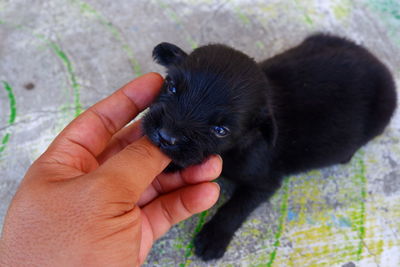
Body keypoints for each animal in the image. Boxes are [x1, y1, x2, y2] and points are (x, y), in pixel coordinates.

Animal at [143, 34, 396, 262]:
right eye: (172, 88)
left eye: (220, 130)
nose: (166, 137)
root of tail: (377, 62)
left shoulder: (264, 182)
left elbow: (235, 207)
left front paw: (213, 238)